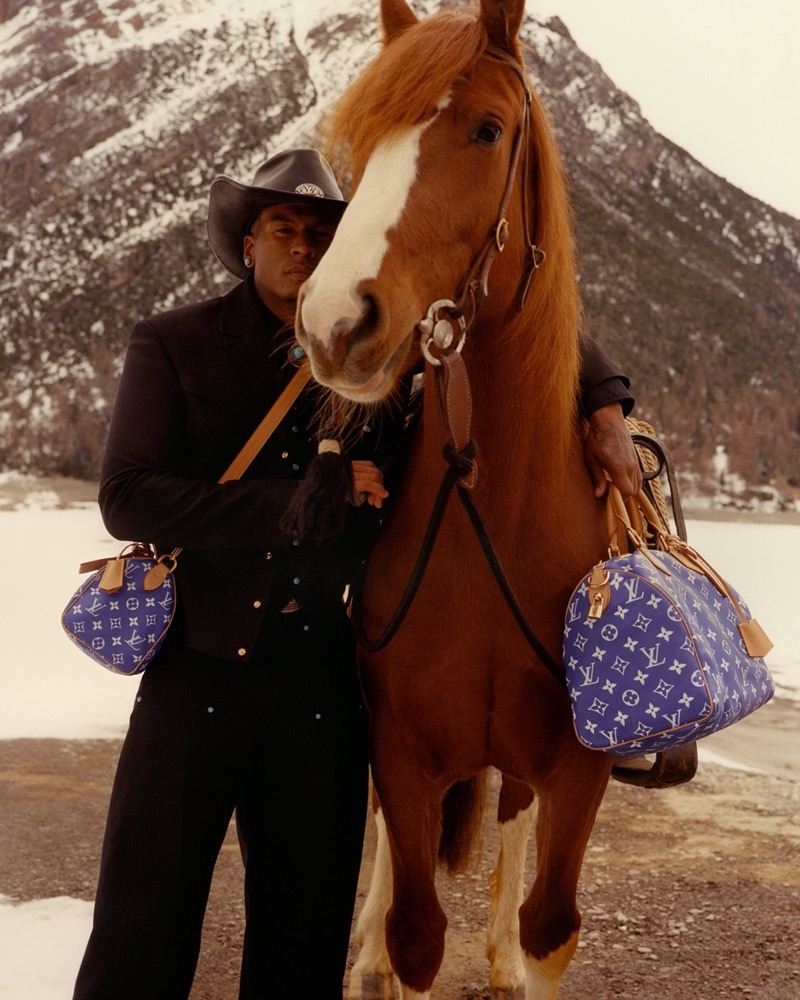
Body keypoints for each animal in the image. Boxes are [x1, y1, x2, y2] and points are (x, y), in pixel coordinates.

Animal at [296, 3, 616, 996]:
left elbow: (552, 926)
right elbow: (415, 932)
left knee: (512, 819)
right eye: (362, 146)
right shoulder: (401, 753)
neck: (497, 515)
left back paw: (500, 953)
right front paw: (377, 949)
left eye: (486, 130)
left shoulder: (579, 767)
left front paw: (516, 952)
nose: (332, 322)